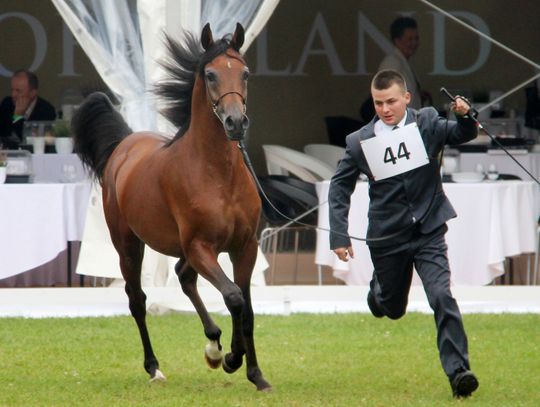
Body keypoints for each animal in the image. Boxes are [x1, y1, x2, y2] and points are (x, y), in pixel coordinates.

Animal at [73, 23, 270, 392]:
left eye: (246, 73)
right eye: (210, 74)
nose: (236, 123)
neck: (218, 175)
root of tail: (125, 145)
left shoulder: (244, 247)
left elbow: (247, 309)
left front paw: (255, 374)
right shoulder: (201, 247)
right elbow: (234, 297)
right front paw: (233, 359)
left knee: (183, 277)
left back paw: (212, 345)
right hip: (129, 246)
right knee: (137, 300)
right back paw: (155, 368)